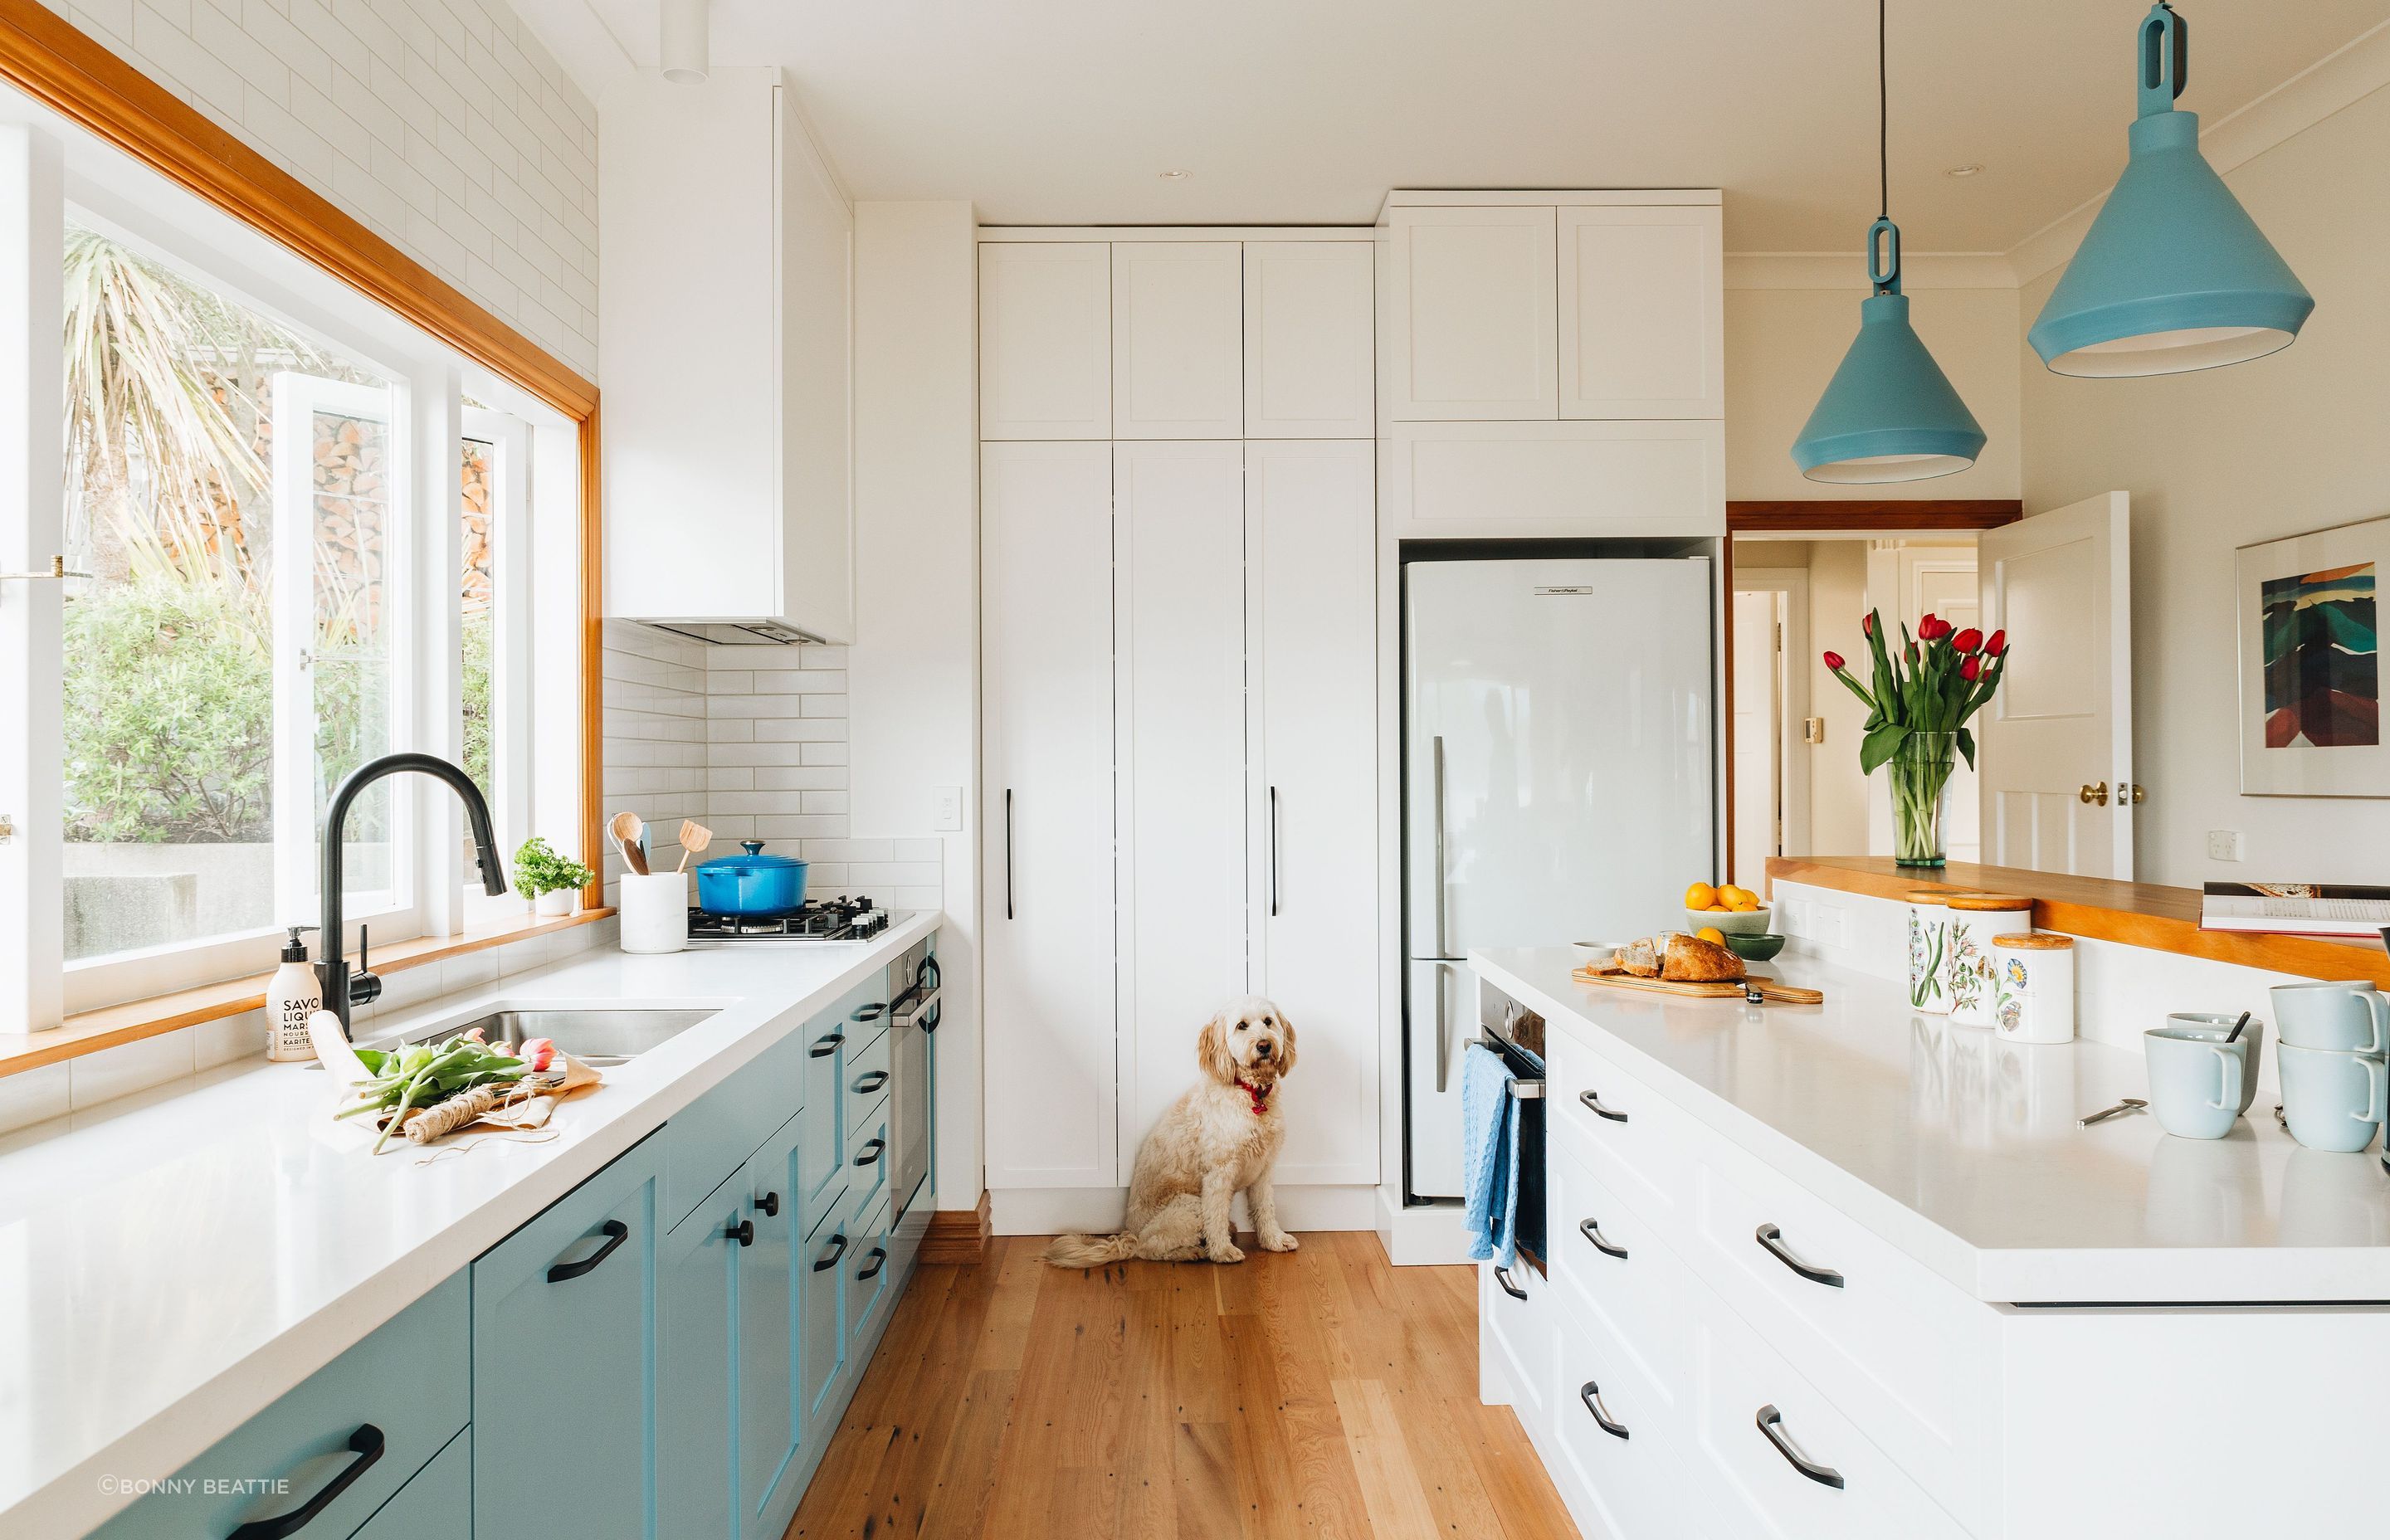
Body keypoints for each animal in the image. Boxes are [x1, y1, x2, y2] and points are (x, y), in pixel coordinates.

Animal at [1051, 999, 1310, 1262]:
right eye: (1242, 1026)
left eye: (1268, 1022)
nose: (1264, 1045)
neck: (1251, 1093)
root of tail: (1130, 1234)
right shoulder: (1219, 1173)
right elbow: (1216, 1214)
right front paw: (1222, 1251)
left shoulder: (1263, 1170)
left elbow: (1265, 1208)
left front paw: (1274, 1240)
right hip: (1190, 1205)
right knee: (1150, 1247)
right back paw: (1193, 1251)